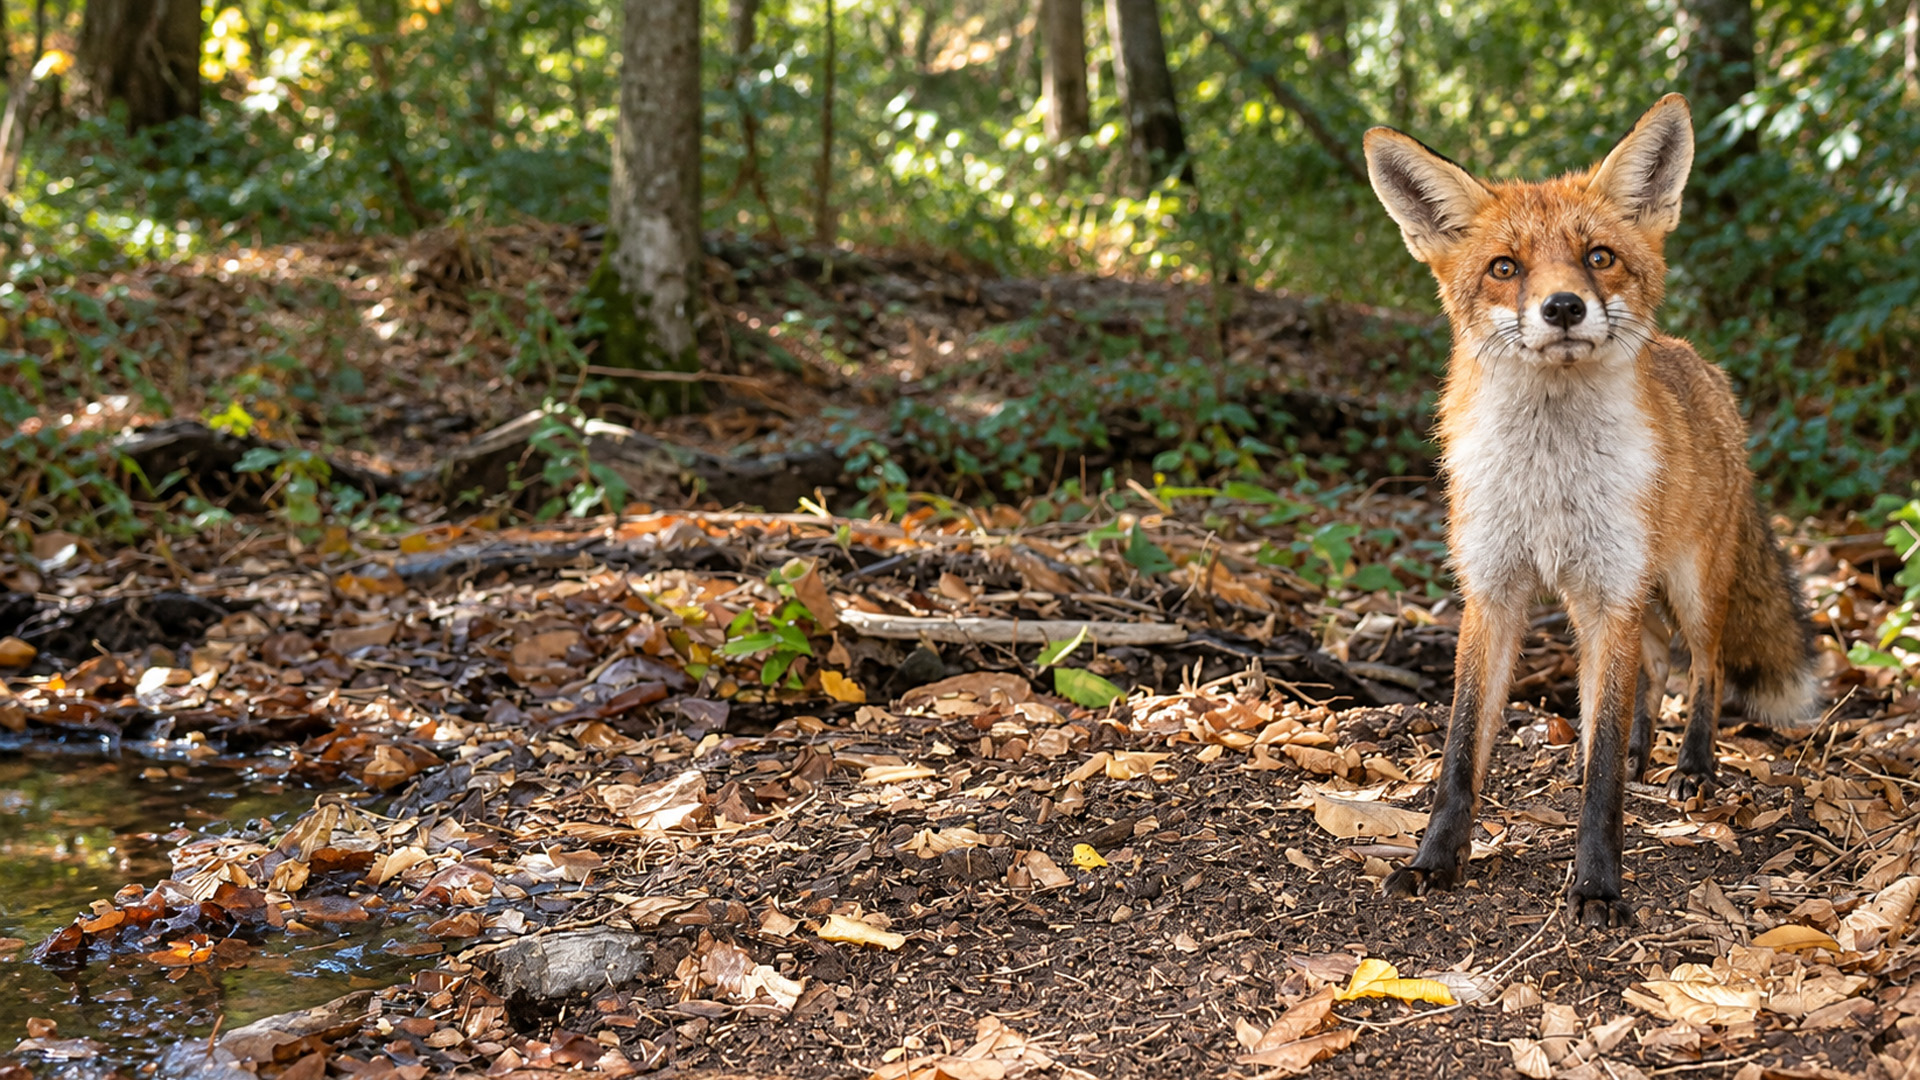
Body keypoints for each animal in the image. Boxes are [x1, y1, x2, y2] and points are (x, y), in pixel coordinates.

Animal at [1360, 94, 1820, 926]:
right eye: (1505, 268)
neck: (1550, 478)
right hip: (1607, 595)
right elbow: (1461, 751)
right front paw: (1434, 861)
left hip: (1686, 583)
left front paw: (1599, 884)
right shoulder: (1495, 591)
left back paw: (1692, 766)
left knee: (1702, 666)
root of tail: (1698, 363)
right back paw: (1645, 748)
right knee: (1654, 665)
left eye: (1598, 257)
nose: (1564, 306)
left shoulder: (1611, 592)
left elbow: (1601, 765)